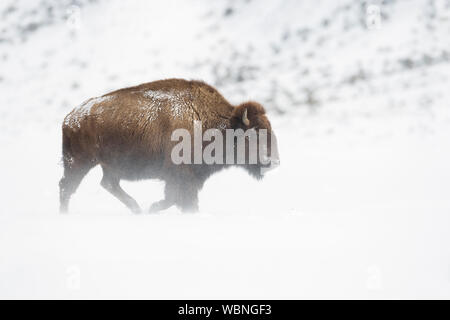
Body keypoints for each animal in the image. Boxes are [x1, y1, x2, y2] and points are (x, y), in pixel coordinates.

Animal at [59, 78, 278, 214]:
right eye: (254, 134)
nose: (274, 161)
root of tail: (70, 117)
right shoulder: (182, 175)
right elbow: (179, 199)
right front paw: (155, 208)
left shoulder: (189, 178)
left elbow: (177, 199)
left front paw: (152, 208)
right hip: (80, 162)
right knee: (66, 186)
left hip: (109, 165)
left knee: (108, 184)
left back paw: (137, 209)